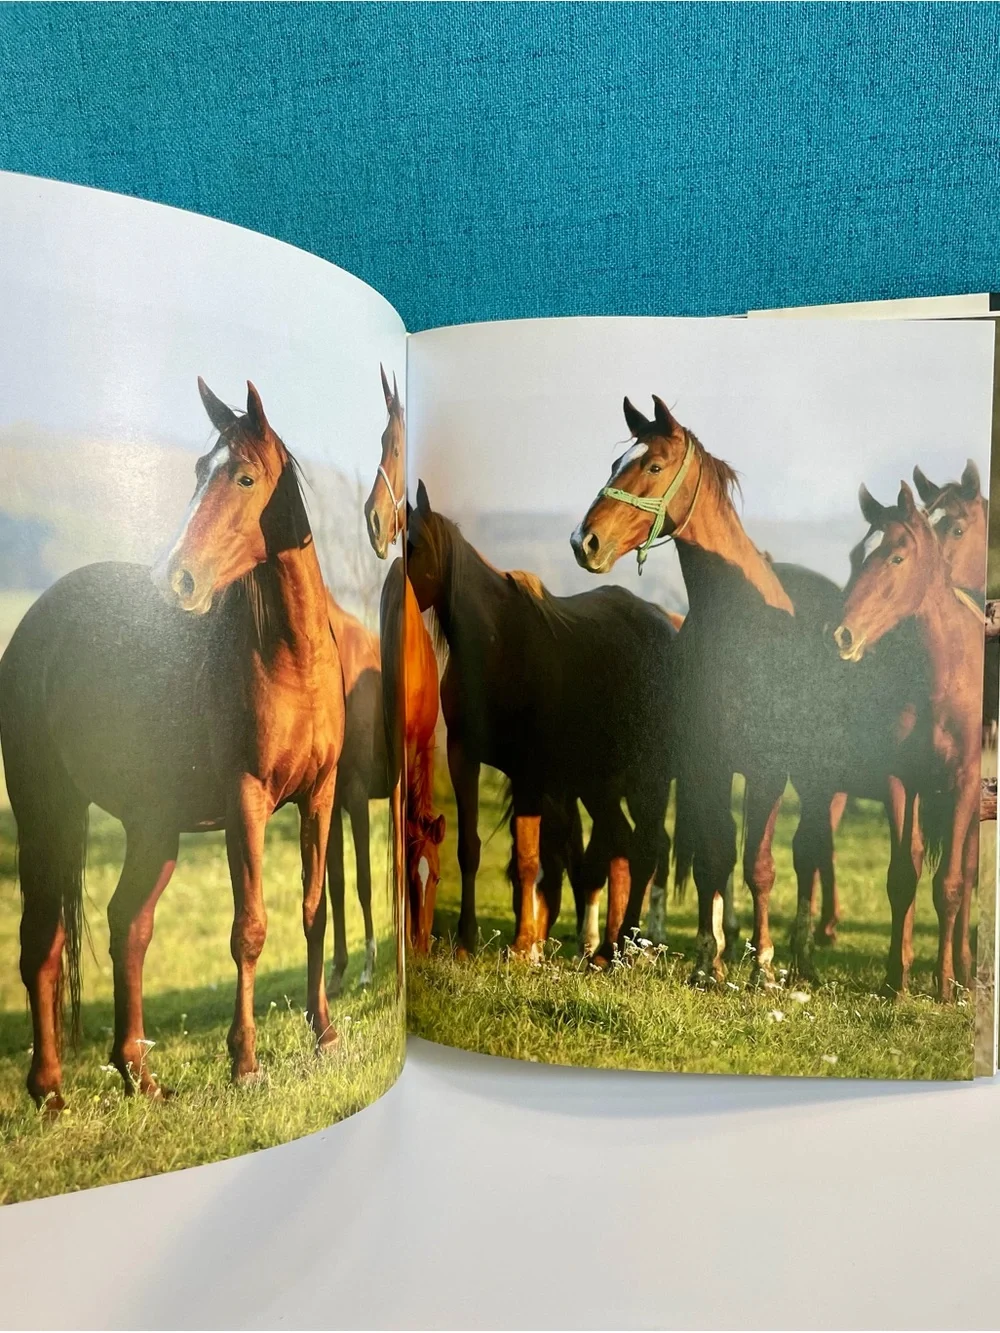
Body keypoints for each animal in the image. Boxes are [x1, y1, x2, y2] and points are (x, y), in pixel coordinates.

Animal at [0, 379, 344, 1108]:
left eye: (244, 477)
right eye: (196, 472)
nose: (176, 579)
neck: (289, 655)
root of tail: (36, 625)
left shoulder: (321, 795)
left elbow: (313, 912)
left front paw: (325, 1034)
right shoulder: (246, 801)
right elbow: (249, 929)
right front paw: (245, 1062)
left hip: (152, 826)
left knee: (127, 926)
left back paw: (139, 1074)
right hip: (49, 813)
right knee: (43, 940)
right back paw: (50, 1092)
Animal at [407, 482, 676, 963]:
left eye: (414, 545)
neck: (497, 645)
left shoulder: (530, 773)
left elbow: (530, 859)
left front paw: (524, 948)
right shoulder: (463, 757)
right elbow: (471, 848)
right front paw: (466, 941)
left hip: (648, 776)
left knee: (647, 848)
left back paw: (622, 949)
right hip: (599, 782)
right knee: (621, 847)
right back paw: (604, 949)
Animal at [835, 483, 984, 999]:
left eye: (897, 557)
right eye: (857, 555)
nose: (842, 634)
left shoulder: (964, 784)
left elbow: (952, 884)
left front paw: (944, 986)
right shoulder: (900, 780)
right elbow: (903, 877)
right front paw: (894, 982)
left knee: (967, 869)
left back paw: (963, 970)